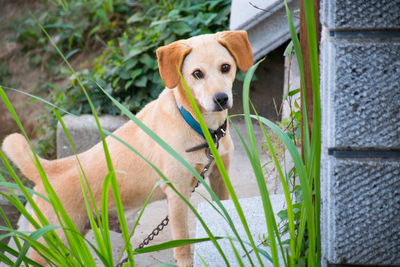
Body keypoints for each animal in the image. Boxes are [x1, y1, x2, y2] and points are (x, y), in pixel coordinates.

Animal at [2, 30, 253, 266]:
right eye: (197, 74)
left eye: (225, 67)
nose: (221, 98)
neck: (199, 126)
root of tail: (49, 169)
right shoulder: (178, 194)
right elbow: (183, 243)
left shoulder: (220, 176)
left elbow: (226, 213)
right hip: (49, 244)